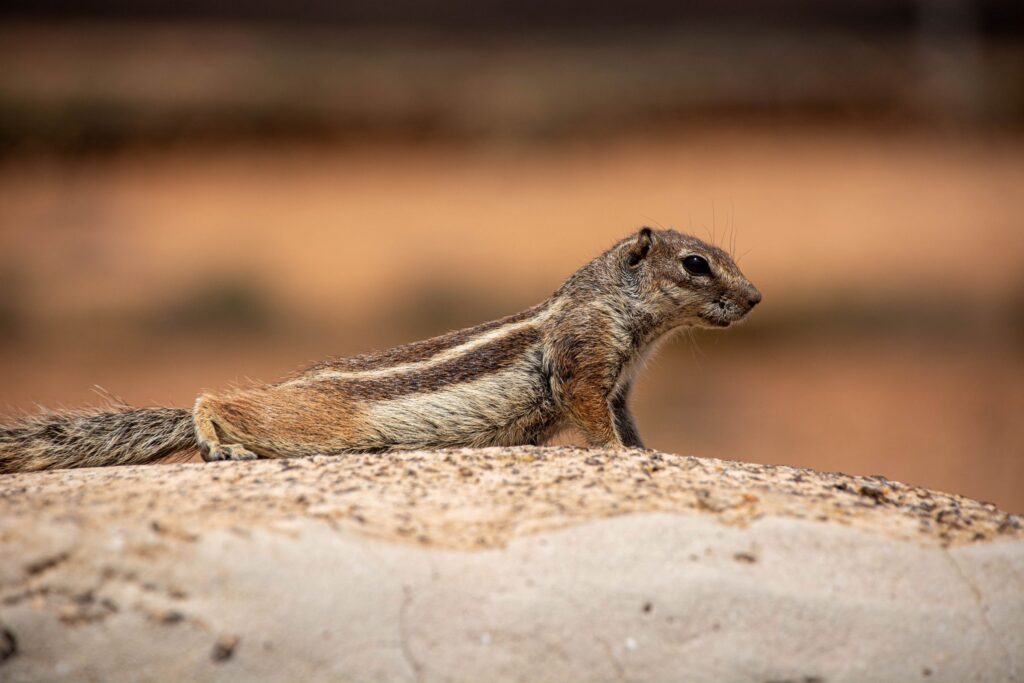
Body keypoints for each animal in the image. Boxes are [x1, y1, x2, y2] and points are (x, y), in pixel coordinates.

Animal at [0, 228, 760, 474]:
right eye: (696, 264)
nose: (755, 297)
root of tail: (291, 385)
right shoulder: (583, 356)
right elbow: (591, 417)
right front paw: (618, 455)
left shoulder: (620, 380)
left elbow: (625, 419)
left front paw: (649, 451)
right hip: (314, 425)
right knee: (215, 397)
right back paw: (220, 443)